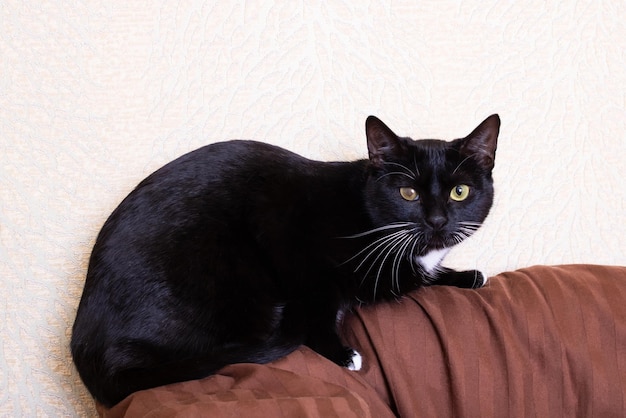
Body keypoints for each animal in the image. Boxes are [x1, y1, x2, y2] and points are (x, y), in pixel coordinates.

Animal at [69, 113, 498, 404]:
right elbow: (321, 312)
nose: (437, 221)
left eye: (459, 192)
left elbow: (425, 273)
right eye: (407, 193)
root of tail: (89, 358)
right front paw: (340, 353)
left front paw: (465, 275)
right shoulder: (300, 252)